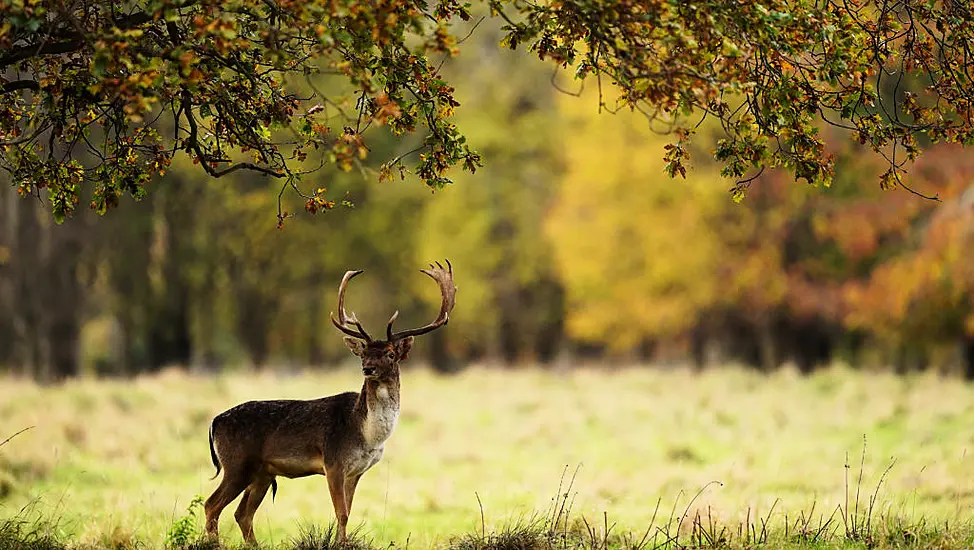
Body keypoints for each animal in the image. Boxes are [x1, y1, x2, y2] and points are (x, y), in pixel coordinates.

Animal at [203, 260, 462, 544]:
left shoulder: (356, 471)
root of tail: (214, 422)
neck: (367, 435)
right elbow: (342, 513)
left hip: (262, 472)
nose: (368, 368)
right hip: (237, 464)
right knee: (211, 505)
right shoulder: (333, 462)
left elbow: (347, 512)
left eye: (390, 354)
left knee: (242, 513)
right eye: (364, 353)